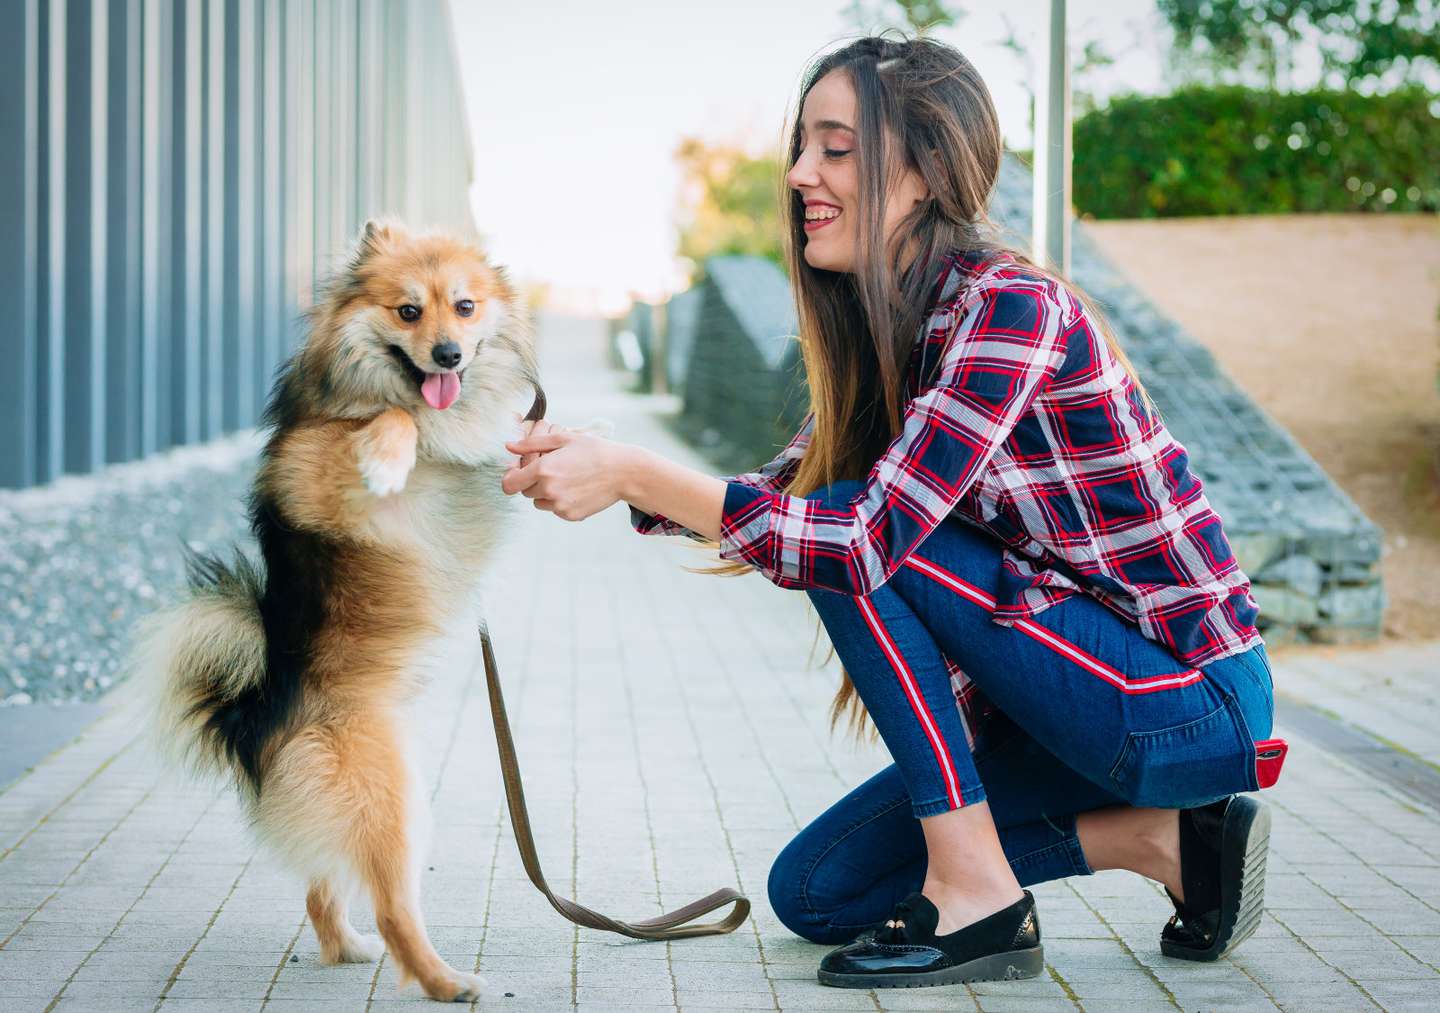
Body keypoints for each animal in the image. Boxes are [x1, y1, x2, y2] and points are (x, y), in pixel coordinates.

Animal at [137, 221, 541, 1008]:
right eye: (408, 312)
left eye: (466, 307)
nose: (448, 355)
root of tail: (255, 711)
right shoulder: (323, 473)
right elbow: (388, 421)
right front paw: (388, 452)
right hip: (390, 796)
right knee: (392, 906)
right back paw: (444, 979)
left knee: (322, 887)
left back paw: (347, 947)